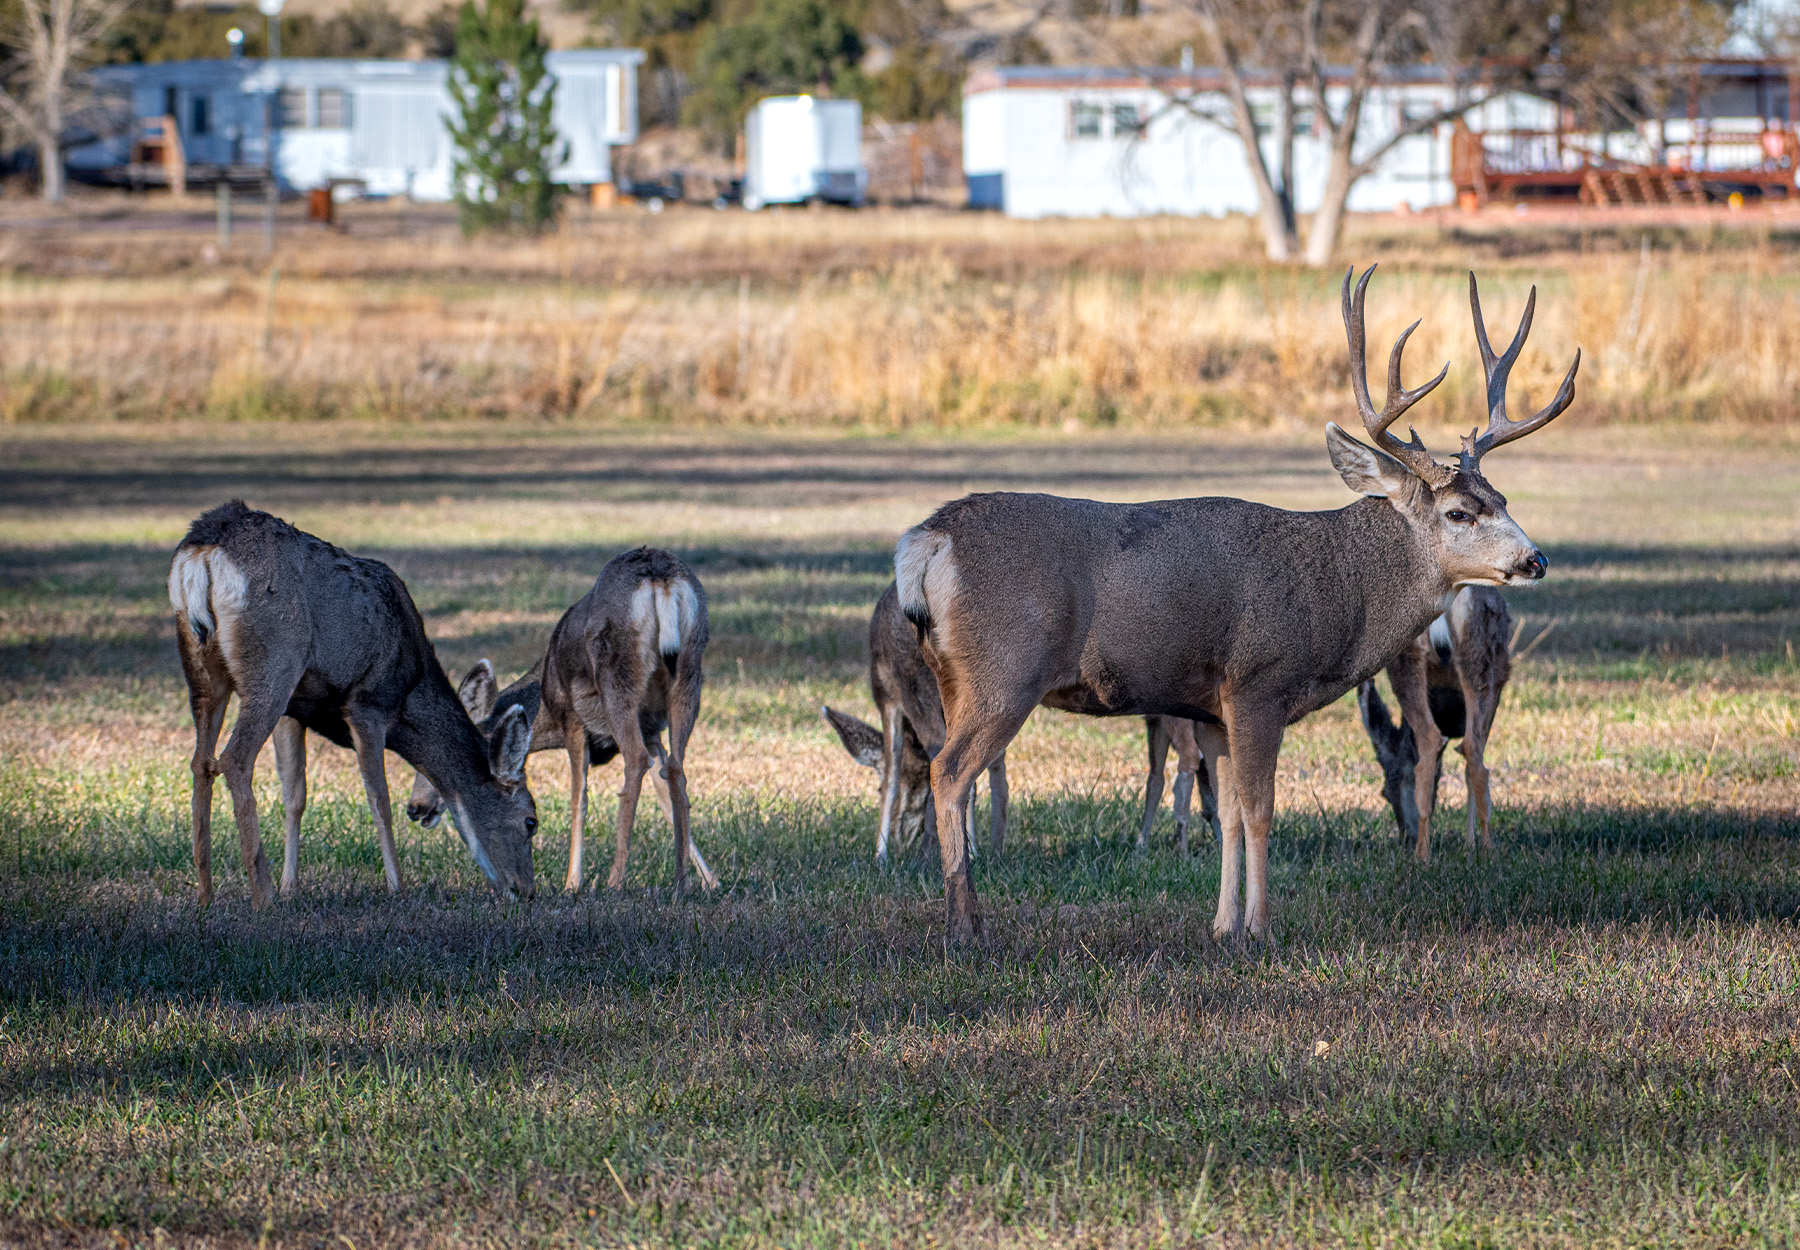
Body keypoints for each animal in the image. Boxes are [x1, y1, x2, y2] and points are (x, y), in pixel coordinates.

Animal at [171, 500, 536, 911]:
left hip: (202, 667)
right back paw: (262, 896)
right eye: (531, 821)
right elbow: (380, 798)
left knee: (201, 762)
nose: (527, 891)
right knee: (234, 758)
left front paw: (291, 885)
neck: (410, 691)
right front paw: (398, 886)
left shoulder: (294, 711)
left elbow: (294, 796)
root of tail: (202, 551)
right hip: (275, 661)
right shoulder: (367, 702)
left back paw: (205, 893)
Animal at [408, 662, 716, 896]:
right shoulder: (650, 733)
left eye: (445, 759)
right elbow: (668, 799)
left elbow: (580, 800)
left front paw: (572, 885)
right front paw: (709, 881)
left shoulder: (582, 728)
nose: (414, 807)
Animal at [529, 551, 705, 900]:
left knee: (635, 761)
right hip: (689, 675)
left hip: (617, 678)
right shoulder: (652, 730)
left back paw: (615, 881)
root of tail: (659, 577)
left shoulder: (573, 721)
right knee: (677, 768)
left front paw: (571, 884)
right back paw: (679, 882)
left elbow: (578, 799)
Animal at [1353, 583, 1512, 857]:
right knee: (1463, 748)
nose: (1406, 836)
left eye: (1385, 794)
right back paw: (1481, 849)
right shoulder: (1500, 684)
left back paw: (1428, 851)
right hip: (1482, 662)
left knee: (1451, 744)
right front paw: (1470, 844)